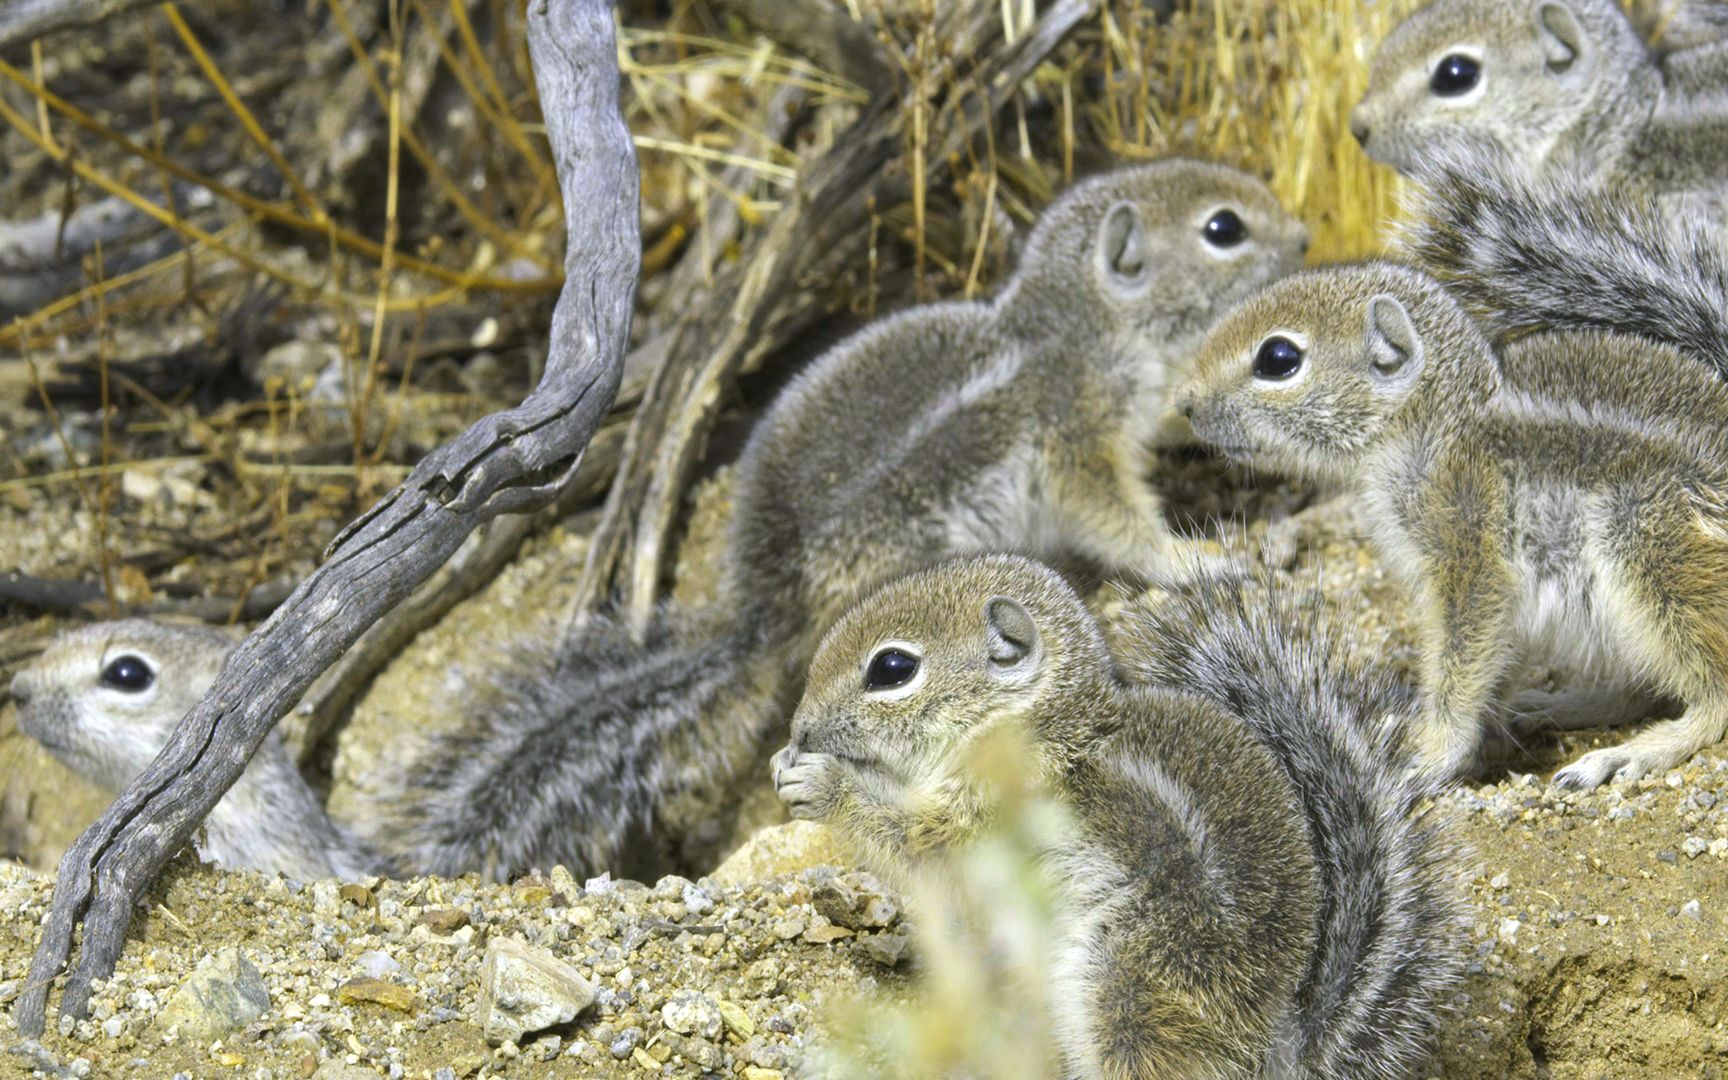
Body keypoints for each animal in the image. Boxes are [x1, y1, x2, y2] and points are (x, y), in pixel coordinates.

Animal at [397, 159, 1299, 881]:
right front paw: (1193, 559)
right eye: (1224, 227)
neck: (1073, 329)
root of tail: (763, 620)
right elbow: (1115, 520)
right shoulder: (1078, 435)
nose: (1306, 231)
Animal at [777, 556, 1465, 1078]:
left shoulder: (987, 813)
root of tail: (1279, 1045)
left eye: (892, 668)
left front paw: (824, 784)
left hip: (1127, 983)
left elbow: (912, 838)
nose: (798, 729)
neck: (1038, 726)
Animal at [1181, 233, 1728, 784]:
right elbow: (1495, 660)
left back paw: (1630, 751)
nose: (1185, 403)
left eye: (1278, 358)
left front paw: (1430, 752)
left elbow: (1462, 656)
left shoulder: (1470, 550)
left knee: (1715, 694)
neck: (1440, 421)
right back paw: (1563, 706)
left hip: (1649, 549)